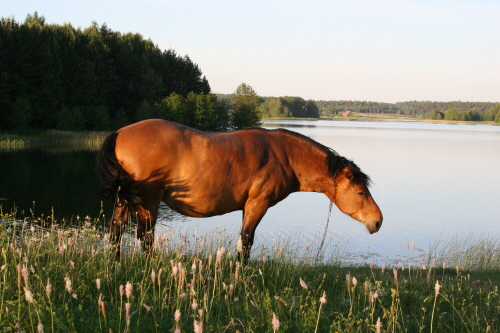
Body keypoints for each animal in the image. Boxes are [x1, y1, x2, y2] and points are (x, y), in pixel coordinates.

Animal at [97, 119, 382, 260]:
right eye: (361, 192)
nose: (378, 221)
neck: (284, 154)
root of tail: (120, 133)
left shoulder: (248, 206)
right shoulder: (258, 203)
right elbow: (246, 242)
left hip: (125, 200)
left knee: (115, 232)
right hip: (148, 201)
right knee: (145, 238)